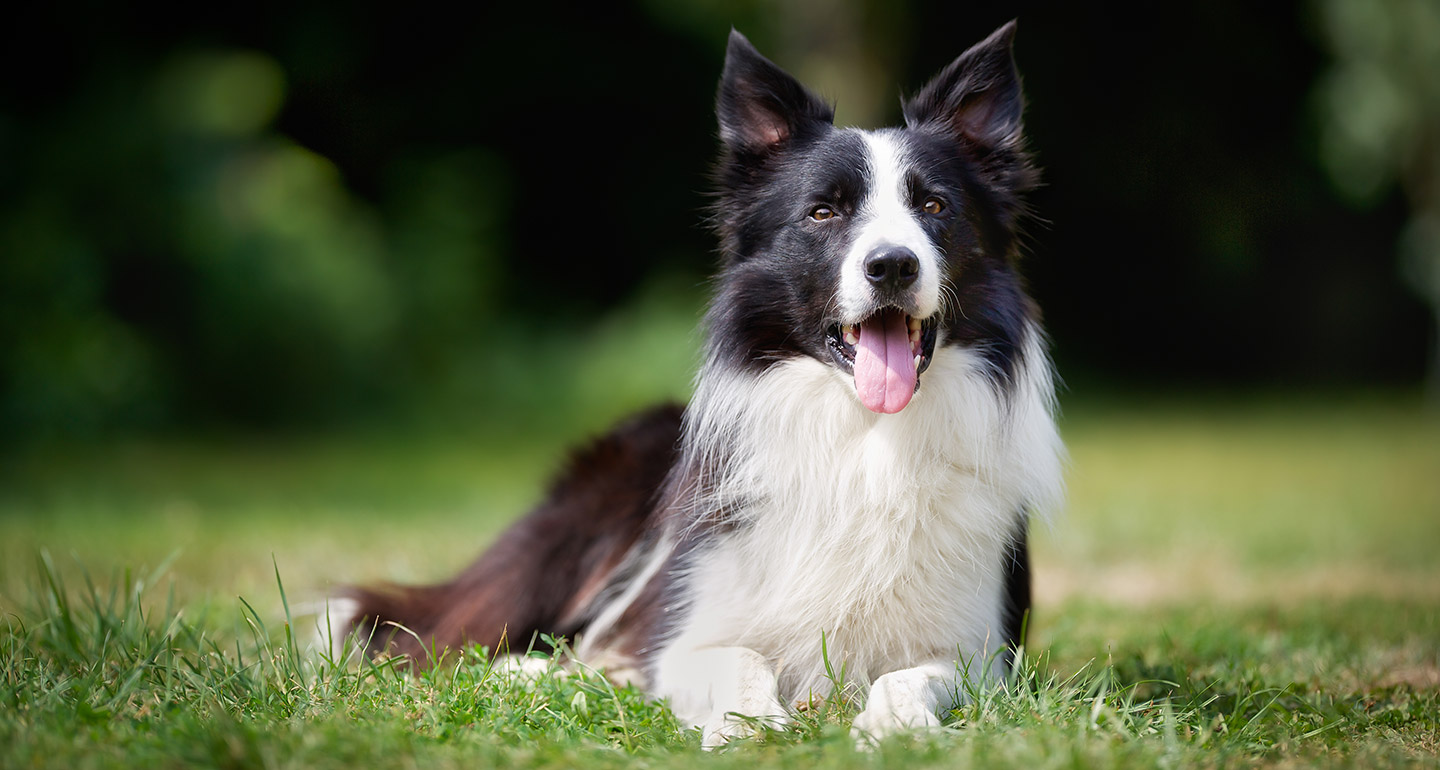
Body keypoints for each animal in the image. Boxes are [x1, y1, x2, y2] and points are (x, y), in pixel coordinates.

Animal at [331, 21, 1065, 748]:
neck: (864, 437)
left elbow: (910, 676)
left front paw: (896, 727)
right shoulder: (687, 631)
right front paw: (751, 728)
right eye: (823, 213)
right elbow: (736, 660)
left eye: (934, 205)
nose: (892, 264)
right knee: (464, 641)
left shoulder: (981, 652)